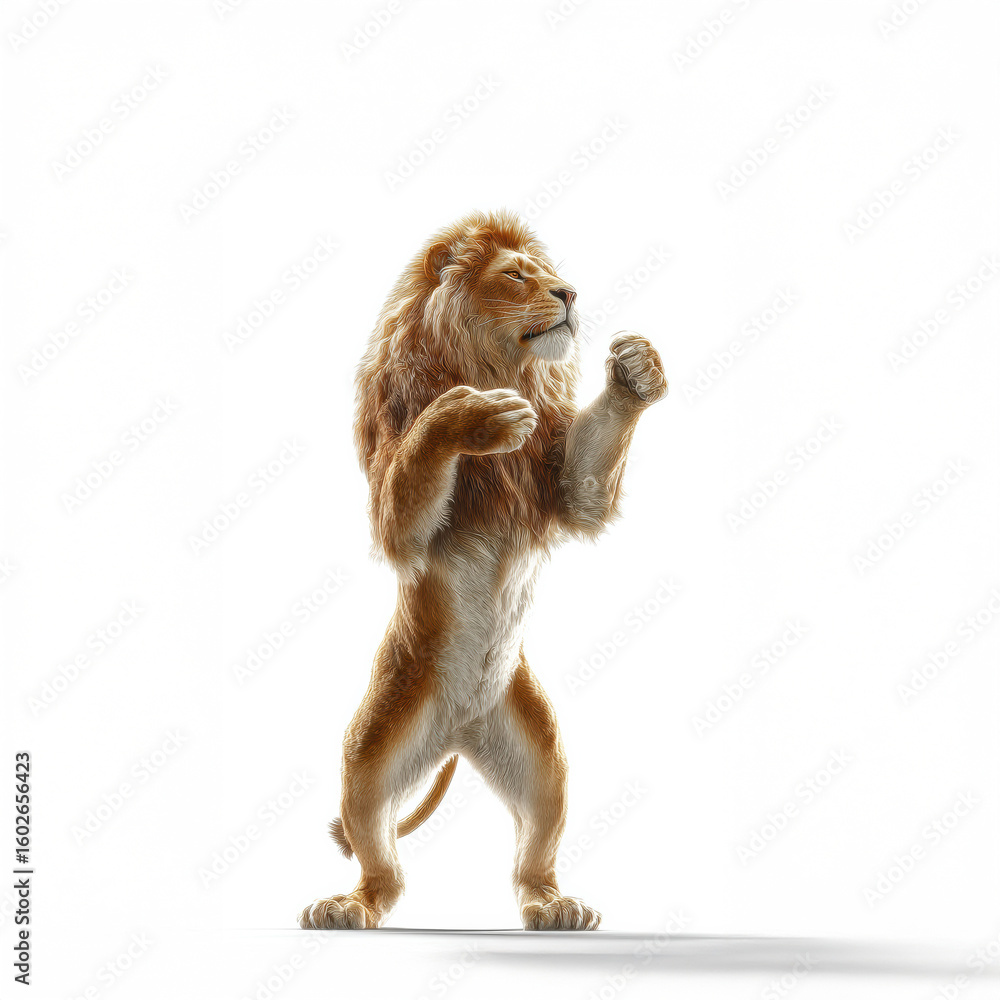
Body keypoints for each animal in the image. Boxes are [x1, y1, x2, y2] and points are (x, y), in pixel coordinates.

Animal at [298, 209, 667, 931]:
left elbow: (585, 478)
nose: (570, 293)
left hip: (542, 756)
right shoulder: (397, 509)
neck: (500, 363)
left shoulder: (561, 483)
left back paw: (556, 907)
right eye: (518, 275)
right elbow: (420, 459)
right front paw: (474, 412)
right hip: (372, 751)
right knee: (381, 864)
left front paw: (637, 369)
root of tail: (457, 733)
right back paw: (347, 905)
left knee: (532, 858)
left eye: (550, 273)